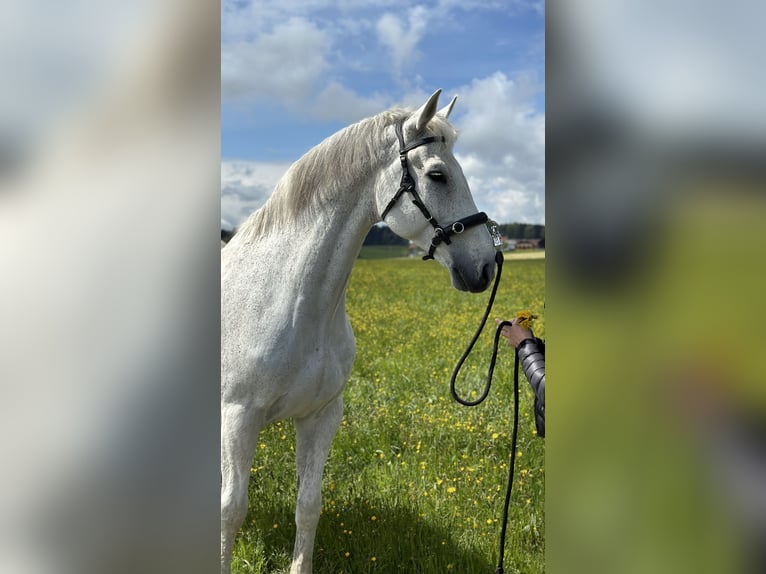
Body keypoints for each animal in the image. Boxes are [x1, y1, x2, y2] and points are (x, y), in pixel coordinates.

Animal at [220, 90, 498, 574]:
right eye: (438, 175)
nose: (486, 265)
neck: (290, 301)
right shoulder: (238, 417)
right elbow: (231, 510)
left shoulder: (322, 415)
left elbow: (308, 506)